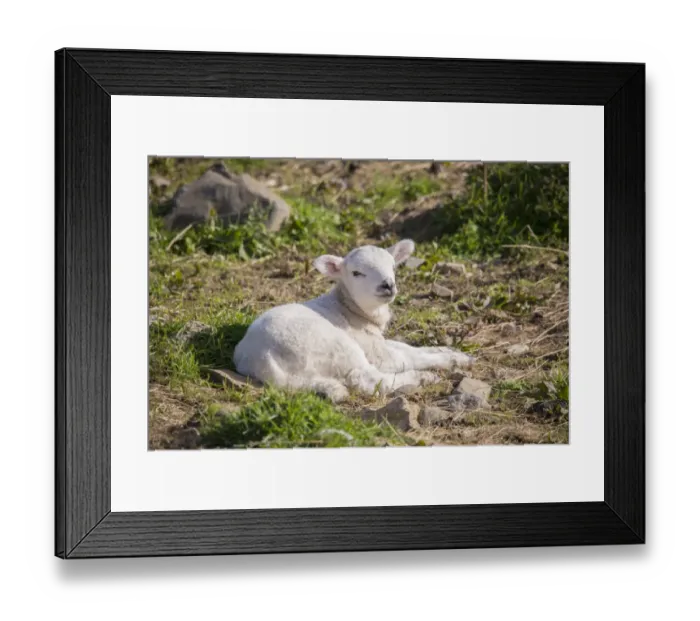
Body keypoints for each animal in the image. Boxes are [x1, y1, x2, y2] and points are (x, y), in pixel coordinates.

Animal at [232, 239, 475, 402]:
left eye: (393, 266)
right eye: (357, 273)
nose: (387, 285)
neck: (350, 308)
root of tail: (261, 358)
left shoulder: (376, 342)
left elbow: (410, 348)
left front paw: (453, 353)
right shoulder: (376, 353)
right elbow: (407, 358)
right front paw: (450, 361)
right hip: (333, 346)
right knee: (367, 379)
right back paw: (422, 378)